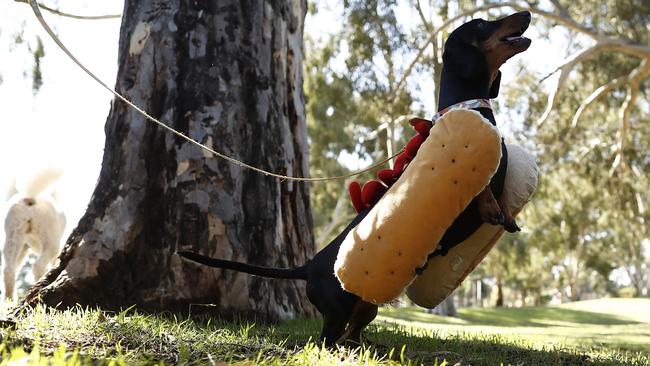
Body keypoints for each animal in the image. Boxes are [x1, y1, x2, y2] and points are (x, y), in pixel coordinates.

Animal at [2, 170, 65, 298]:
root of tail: (30, 199)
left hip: (14, 237)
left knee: (8, 270)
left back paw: (9, 299)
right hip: (51, 241)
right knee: (38, 266)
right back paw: (38, 286)